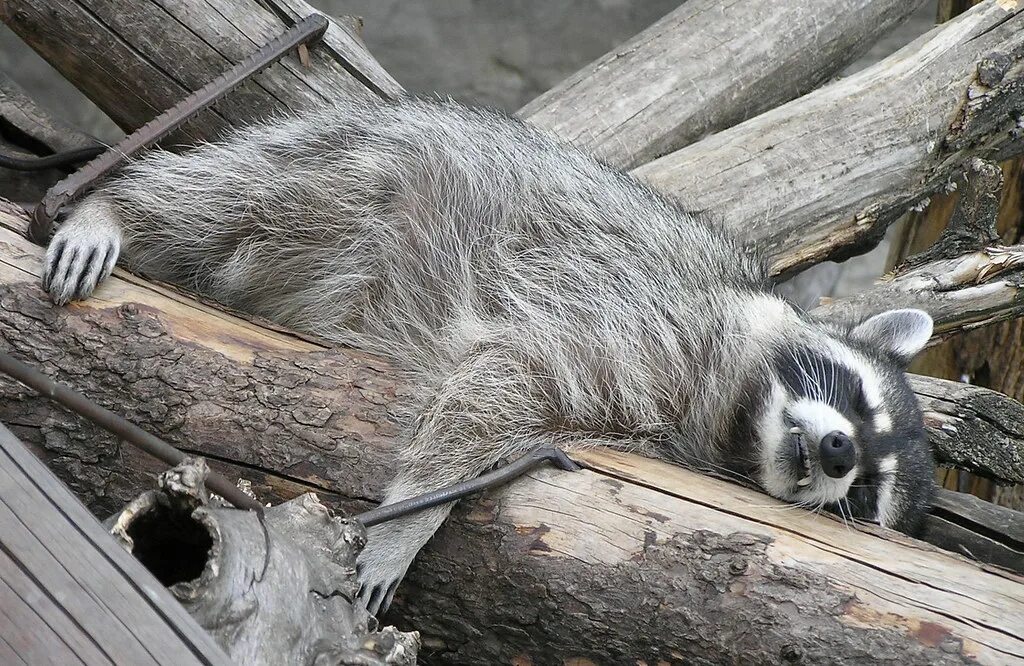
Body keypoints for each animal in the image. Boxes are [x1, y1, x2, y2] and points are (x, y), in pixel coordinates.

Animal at [39, 93, 937, 610]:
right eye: (855, 400)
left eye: (867, 492)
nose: (837, 452)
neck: (733, 410)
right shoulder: (642, 318)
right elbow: (504, 378)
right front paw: (412, 519)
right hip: (369, 166)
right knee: (250, 199)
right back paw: (121, 206)